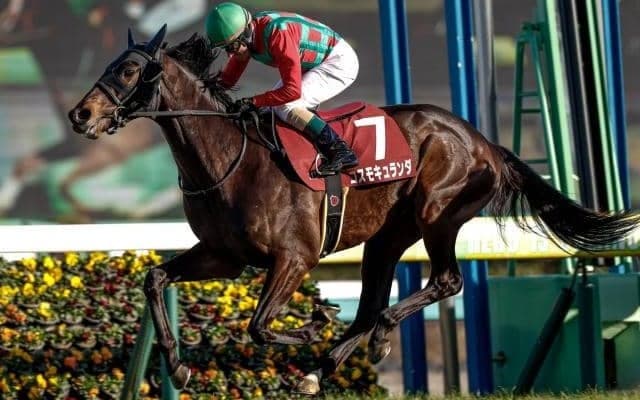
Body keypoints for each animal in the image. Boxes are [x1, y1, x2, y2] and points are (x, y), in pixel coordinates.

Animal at [67, 26, 640, 395]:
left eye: (129, 69)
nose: (80, 114)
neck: (229, 159)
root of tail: (482, 141)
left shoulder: (294, 258)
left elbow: (258, 325)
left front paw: (312, 321)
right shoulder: (223, 256)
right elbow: (156, 279)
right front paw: (179, 367)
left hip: (438, 212)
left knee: (444, 282)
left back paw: (371, 339)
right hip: (387, 237)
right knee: (371, 303)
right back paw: (323, 367)